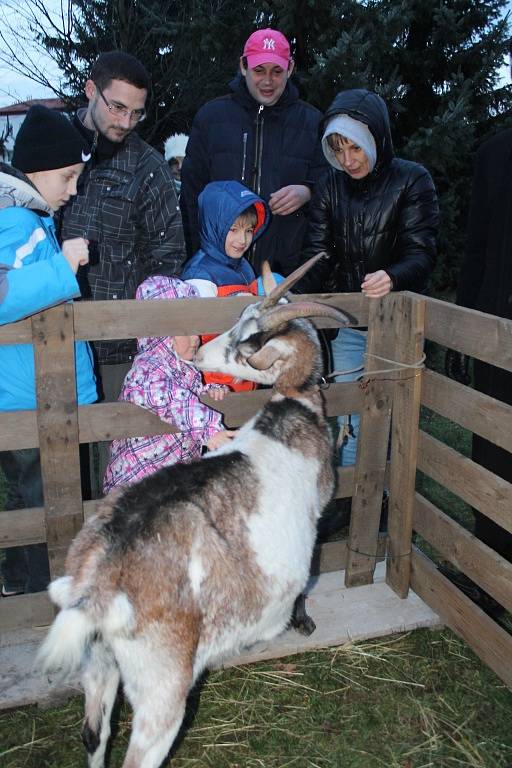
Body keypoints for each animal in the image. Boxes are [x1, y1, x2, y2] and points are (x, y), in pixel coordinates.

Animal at [38, 256, 350, 768]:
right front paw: (300, 622)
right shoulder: (320, 509)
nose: (201, 356)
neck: (292, 408)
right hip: (161, 680)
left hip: (99, 663)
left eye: (249, 340)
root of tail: (96, 584)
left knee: (93, 732)